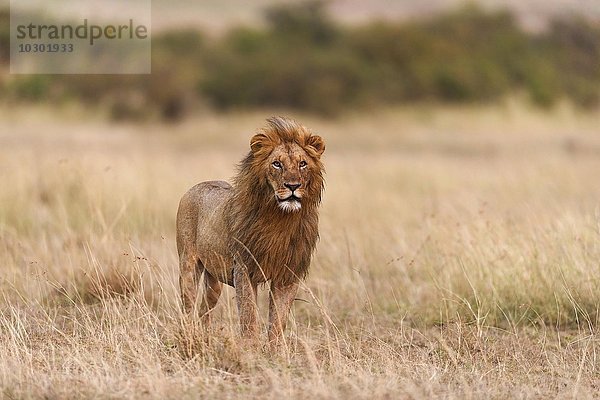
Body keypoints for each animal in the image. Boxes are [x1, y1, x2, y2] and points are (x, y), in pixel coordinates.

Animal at [176, 115, 326, 344]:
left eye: (302, 164)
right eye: (277, 164)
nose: (292, 186)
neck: (281, 219)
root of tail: (198, 185)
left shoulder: (288, 275)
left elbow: (278, 322)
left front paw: (276, 351)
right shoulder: (244, 269)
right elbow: (249, 317)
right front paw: (250, 348)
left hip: (214, 280)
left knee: (204, 309)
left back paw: (205, 337)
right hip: (188, 265)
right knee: (188, 307)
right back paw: (189, 336)